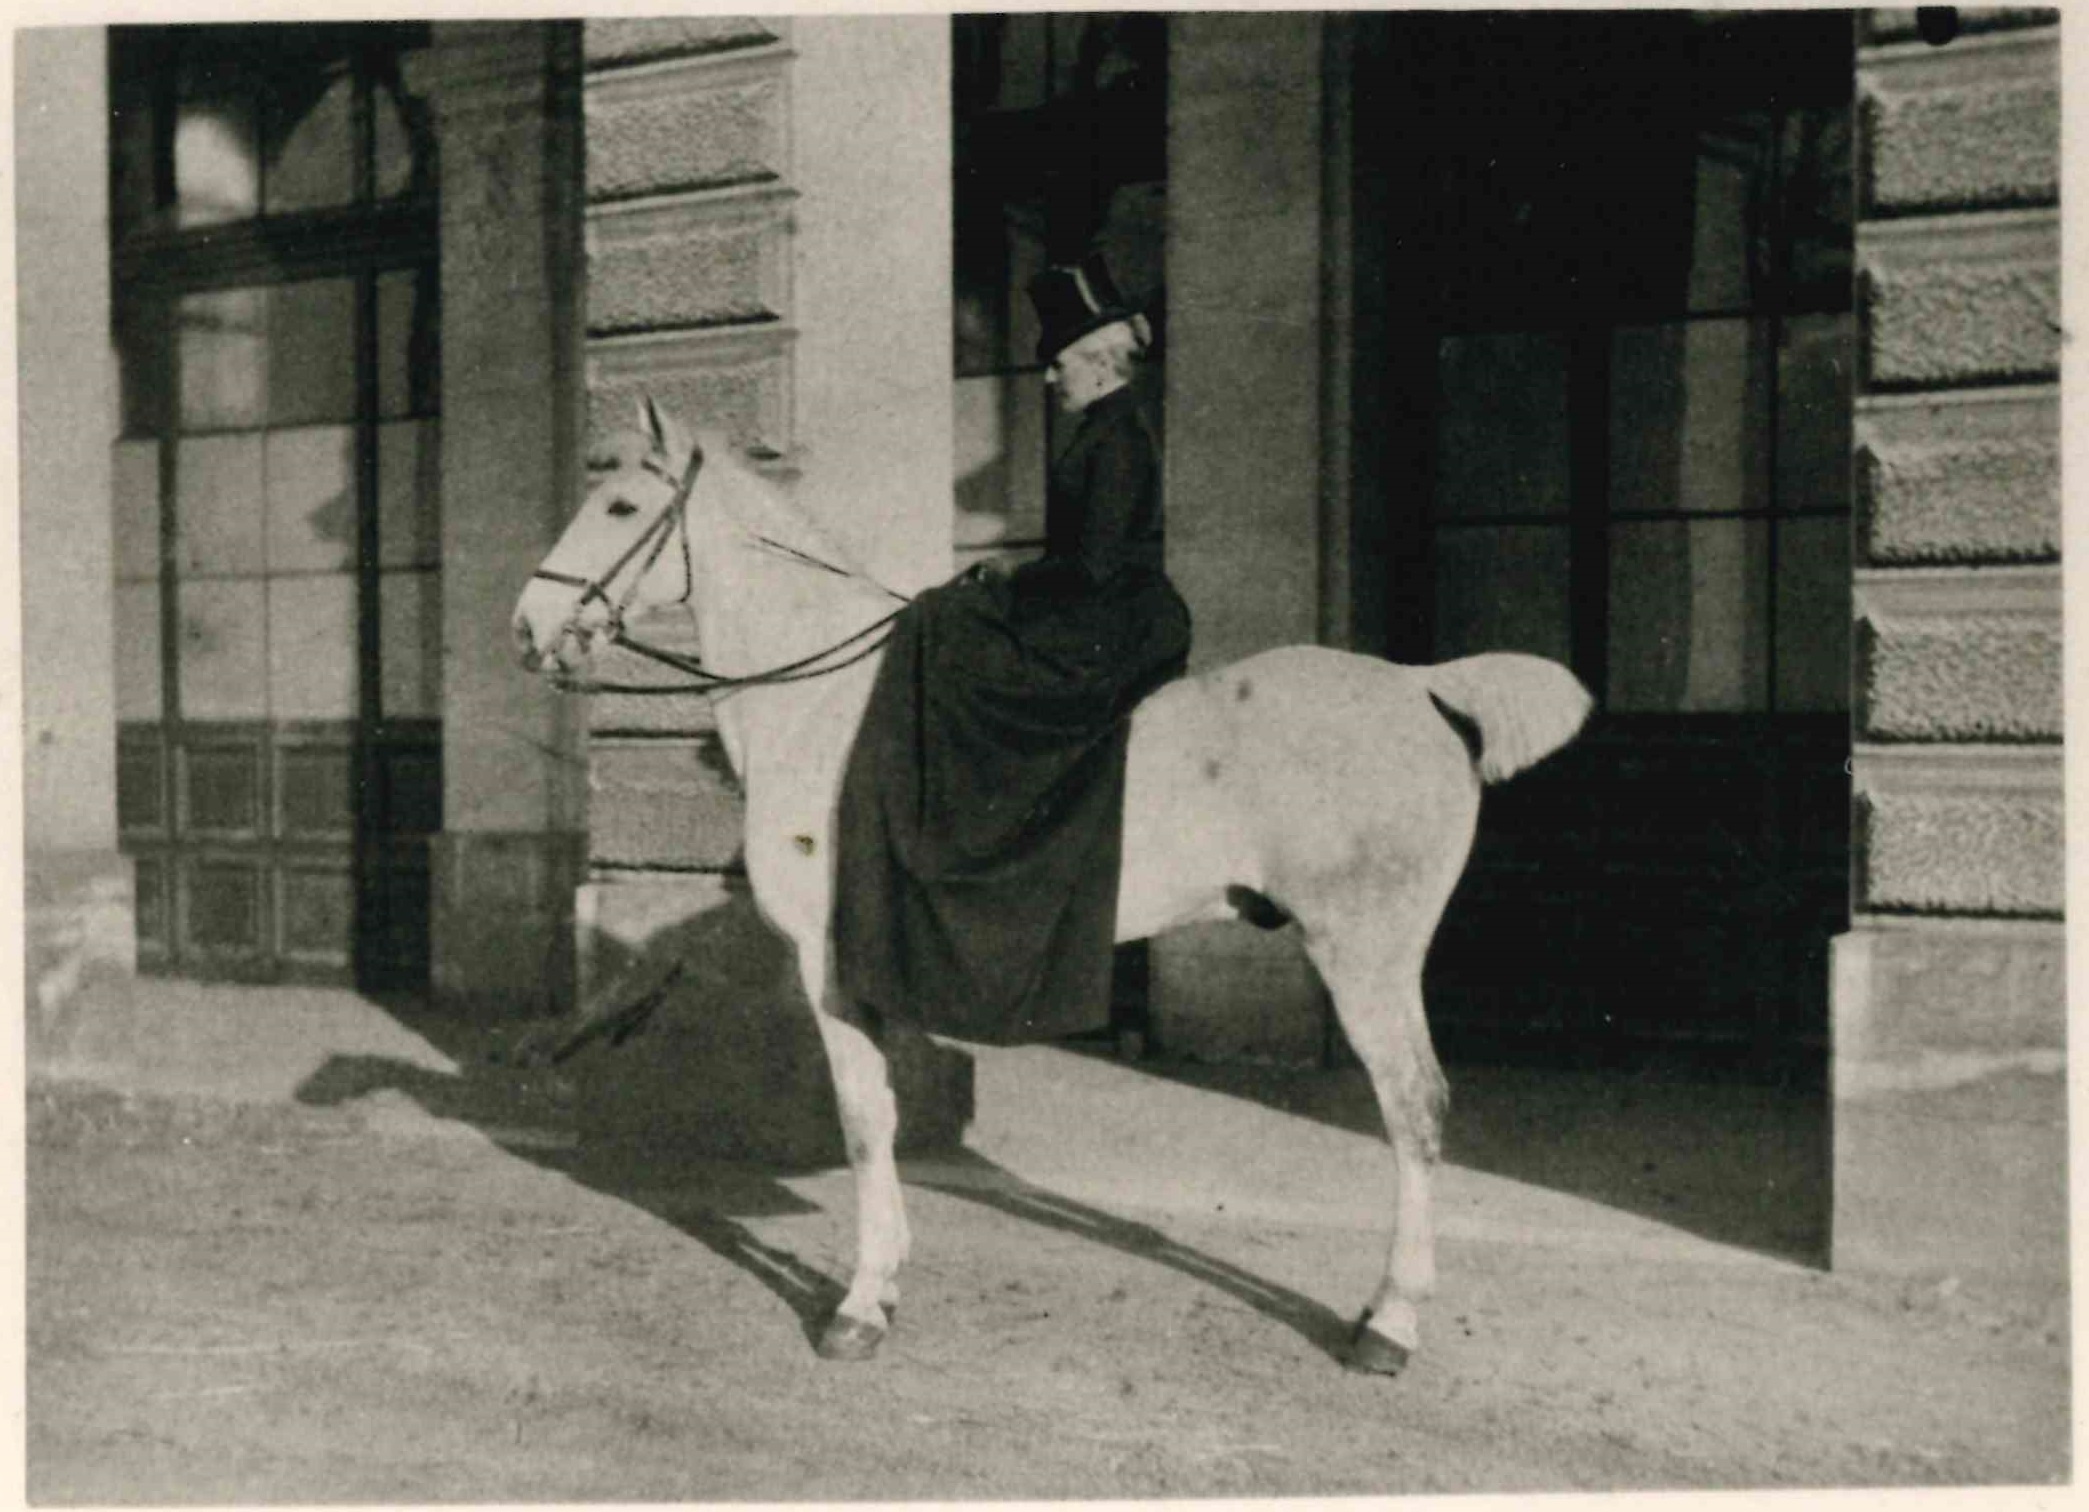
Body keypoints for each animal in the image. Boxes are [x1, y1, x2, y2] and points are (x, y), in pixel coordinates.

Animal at [511, 398, 1592, 1374]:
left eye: (619, 505)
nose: (526, 629)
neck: (824, 705)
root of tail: (1420, 685)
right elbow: (885, 1116)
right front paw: (886, 1281)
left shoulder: (831, 960)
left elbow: (861, 1121)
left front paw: (857, 1307)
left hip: (1367, 956)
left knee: (1413, 1109)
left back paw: (1388, 1325)